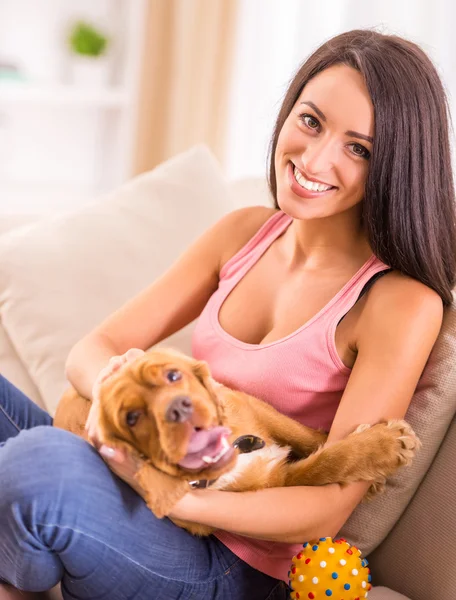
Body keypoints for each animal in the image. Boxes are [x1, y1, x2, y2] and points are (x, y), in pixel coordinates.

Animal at [53, 350, 420, 536]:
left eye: (173, 375)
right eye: (132, 417)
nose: (178, 409)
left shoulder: (256, 408)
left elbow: (307, 437)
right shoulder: (275, 480)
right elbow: (323, 465)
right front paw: (384, 446)